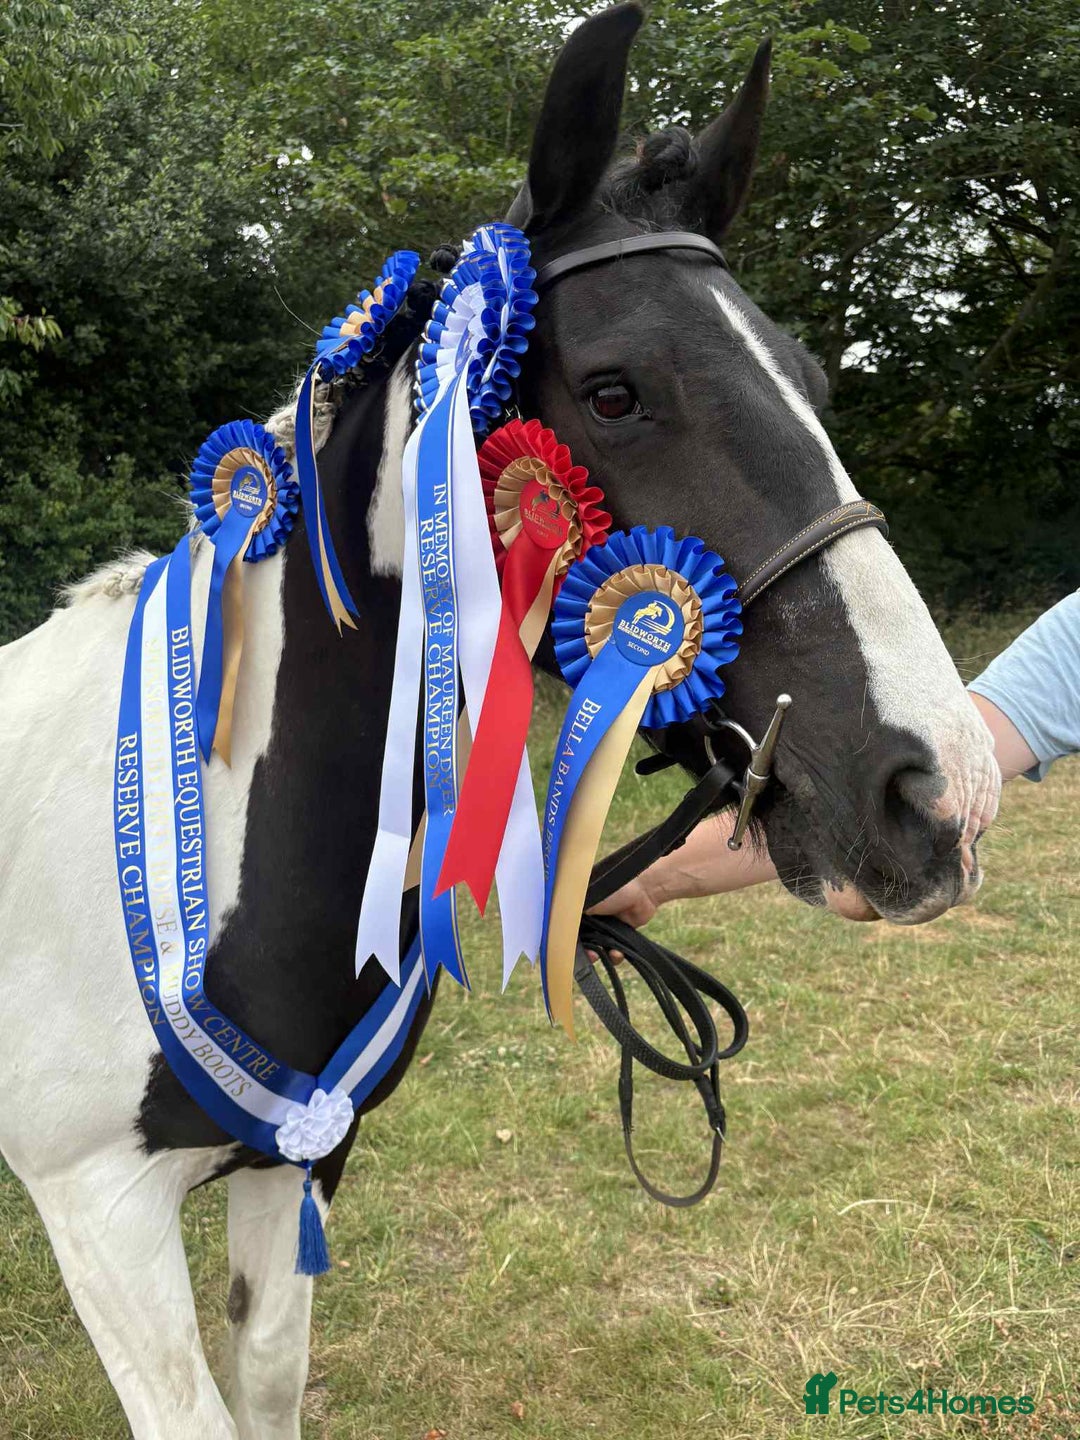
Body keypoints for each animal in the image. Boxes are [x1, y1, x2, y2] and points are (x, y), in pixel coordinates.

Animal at [0, 5, 1000, 1436]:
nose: (941, 787)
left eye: (811, 378)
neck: (208, 826)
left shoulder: (296, 1163)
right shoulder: (103, 1214)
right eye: (616, 389)